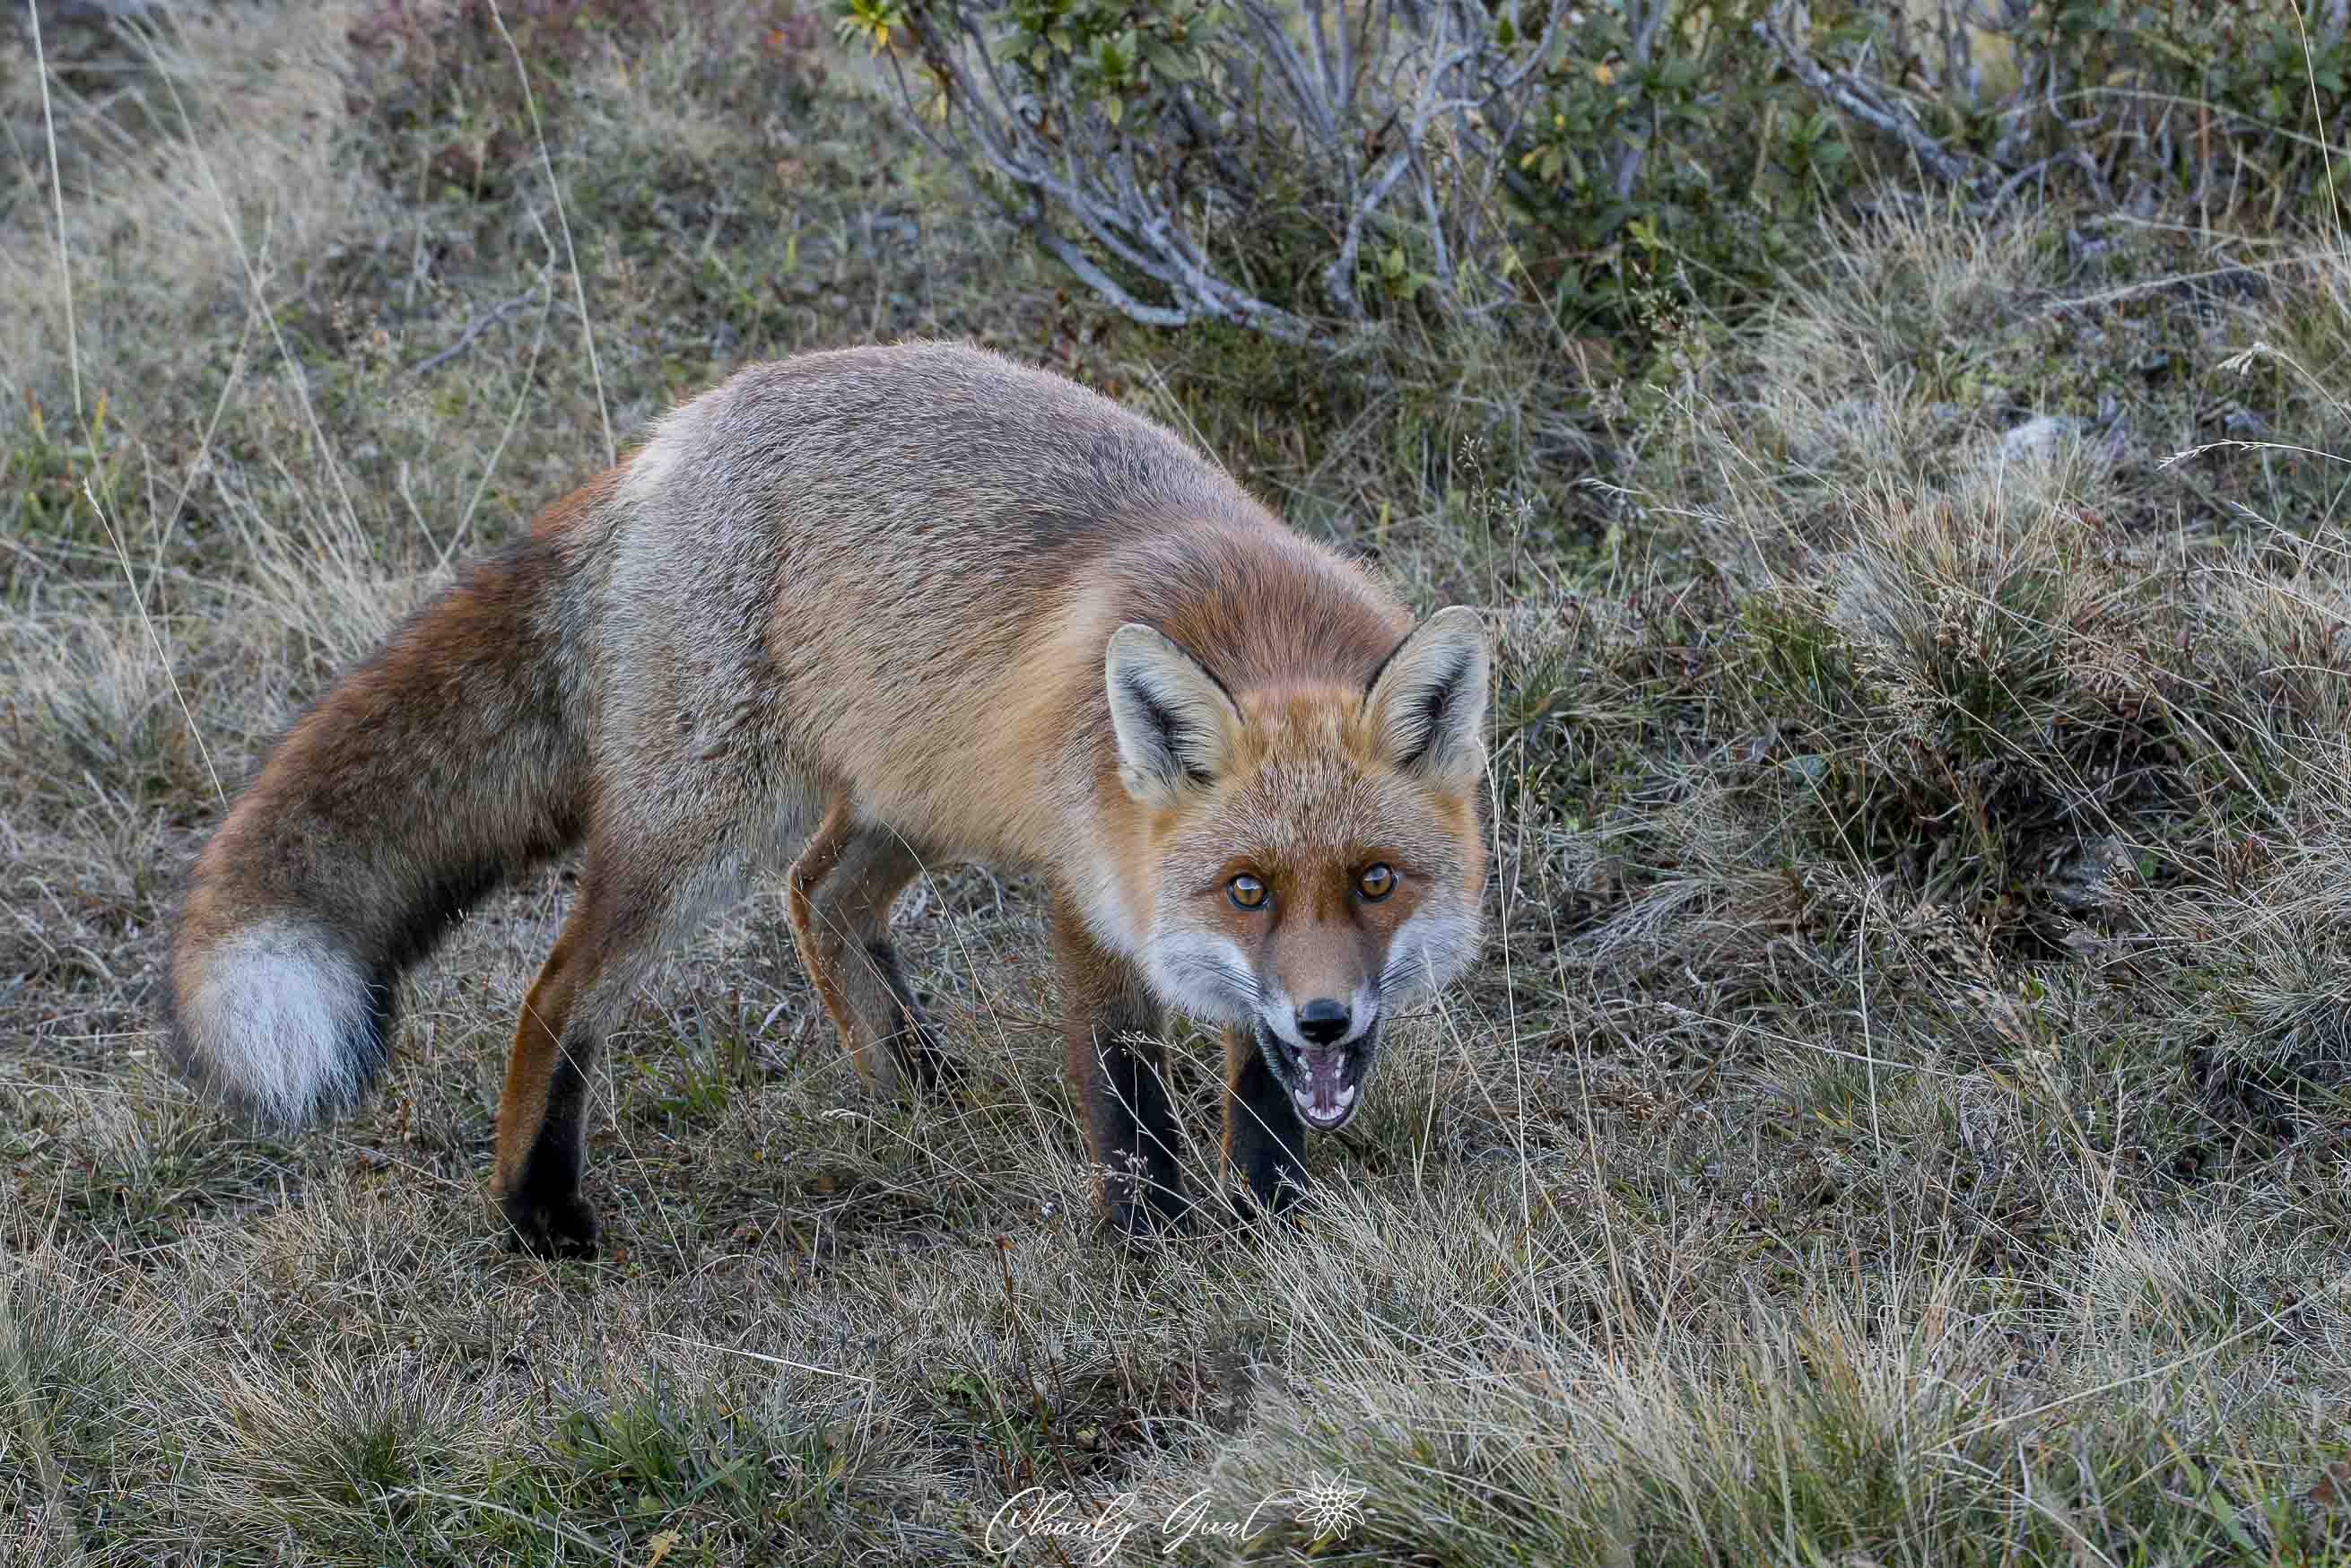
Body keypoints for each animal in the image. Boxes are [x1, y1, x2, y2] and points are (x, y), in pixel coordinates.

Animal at [165, 341, 1485, 1250]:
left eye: (1374, 882)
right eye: (1245, 889)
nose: (1326, 1019)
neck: (1254, 628)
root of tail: (667, 441)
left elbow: (1258, 1097)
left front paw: (1271, 1225)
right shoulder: (1092, 891)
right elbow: (1126, 1094)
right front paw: (1148, 1243)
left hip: (910, 787)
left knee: (819, 896)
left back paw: (918, 1084)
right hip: (702, 830)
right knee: (562, 990)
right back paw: (538, 1210)